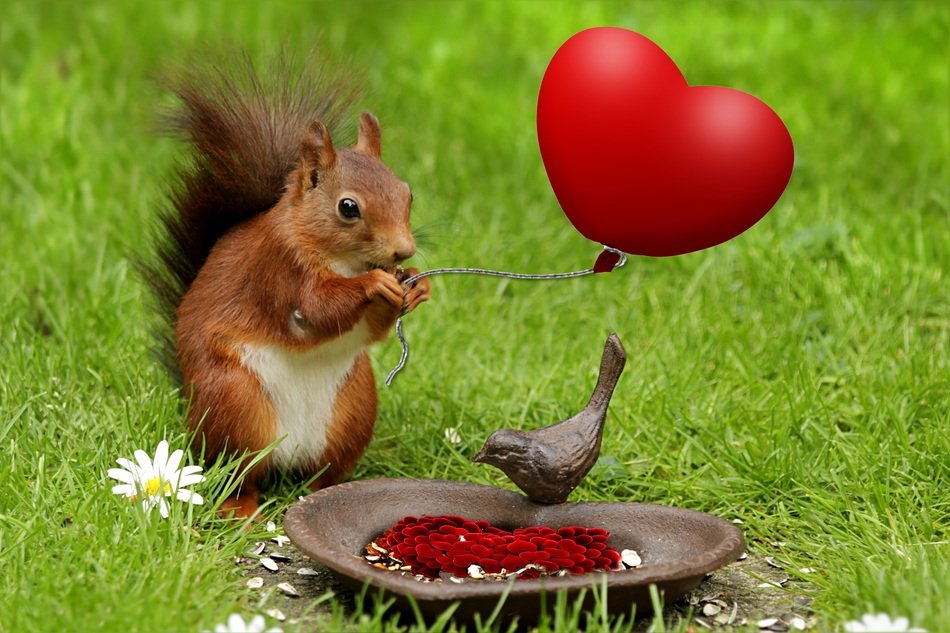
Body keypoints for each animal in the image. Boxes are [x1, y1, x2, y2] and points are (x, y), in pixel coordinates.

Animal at [146, 55, 430, 519]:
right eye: (348, 207)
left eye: (407, 194)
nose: (403, 251)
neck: (341, 260)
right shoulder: (278, 269)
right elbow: (315, 310)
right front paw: (375, 283)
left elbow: (370, 331)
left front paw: (416, 289)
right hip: (236, 404)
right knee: (237, 472)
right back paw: (241, 511)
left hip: (353, 409)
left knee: (321, 473)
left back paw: (328, 492)